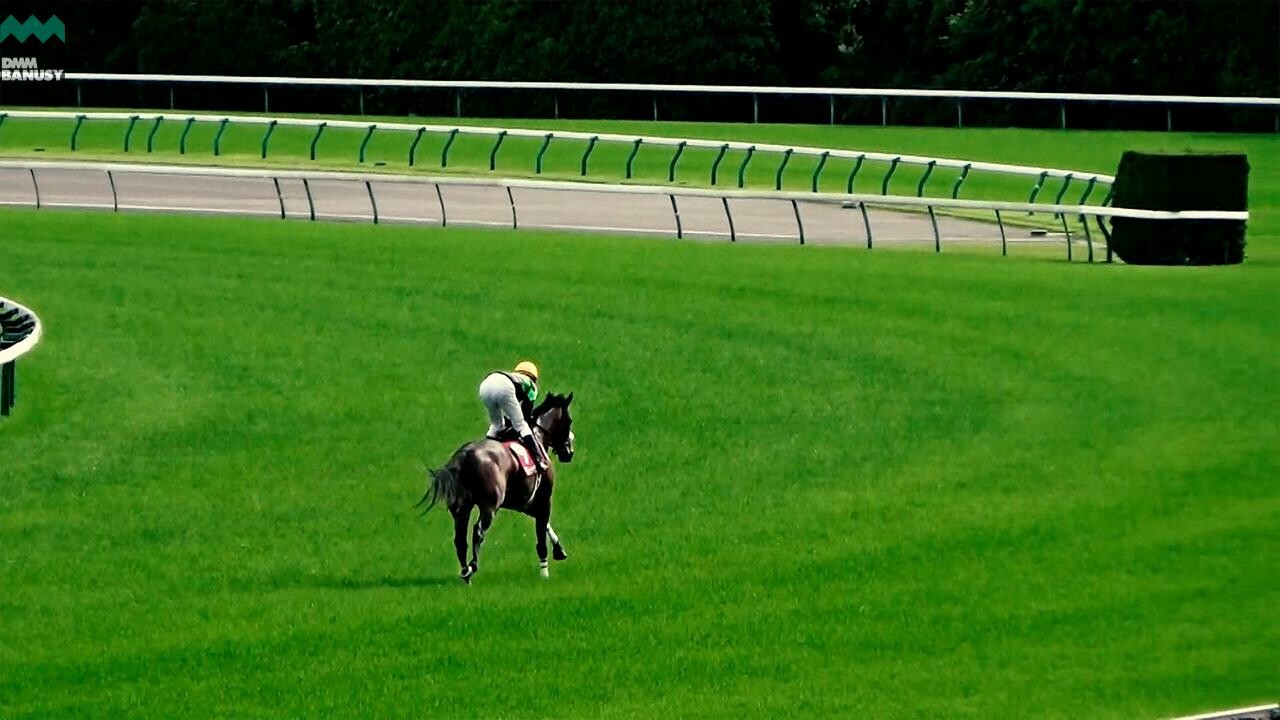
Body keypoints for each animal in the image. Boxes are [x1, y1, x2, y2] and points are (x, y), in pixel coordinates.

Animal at [417, 389, 578, 579]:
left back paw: (465, 571)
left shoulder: (523, 503)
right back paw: (472, 566)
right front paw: (544, 572)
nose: (569, 453)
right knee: (478, 530)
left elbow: (545, 525)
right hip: (489, 505)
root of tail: (464, 454)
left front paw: (559, 551)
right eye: (569, 421)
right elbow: (541, 534)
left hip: (461, 506)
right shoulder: (544, 500)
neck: (538, 437)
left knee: (460, 537)